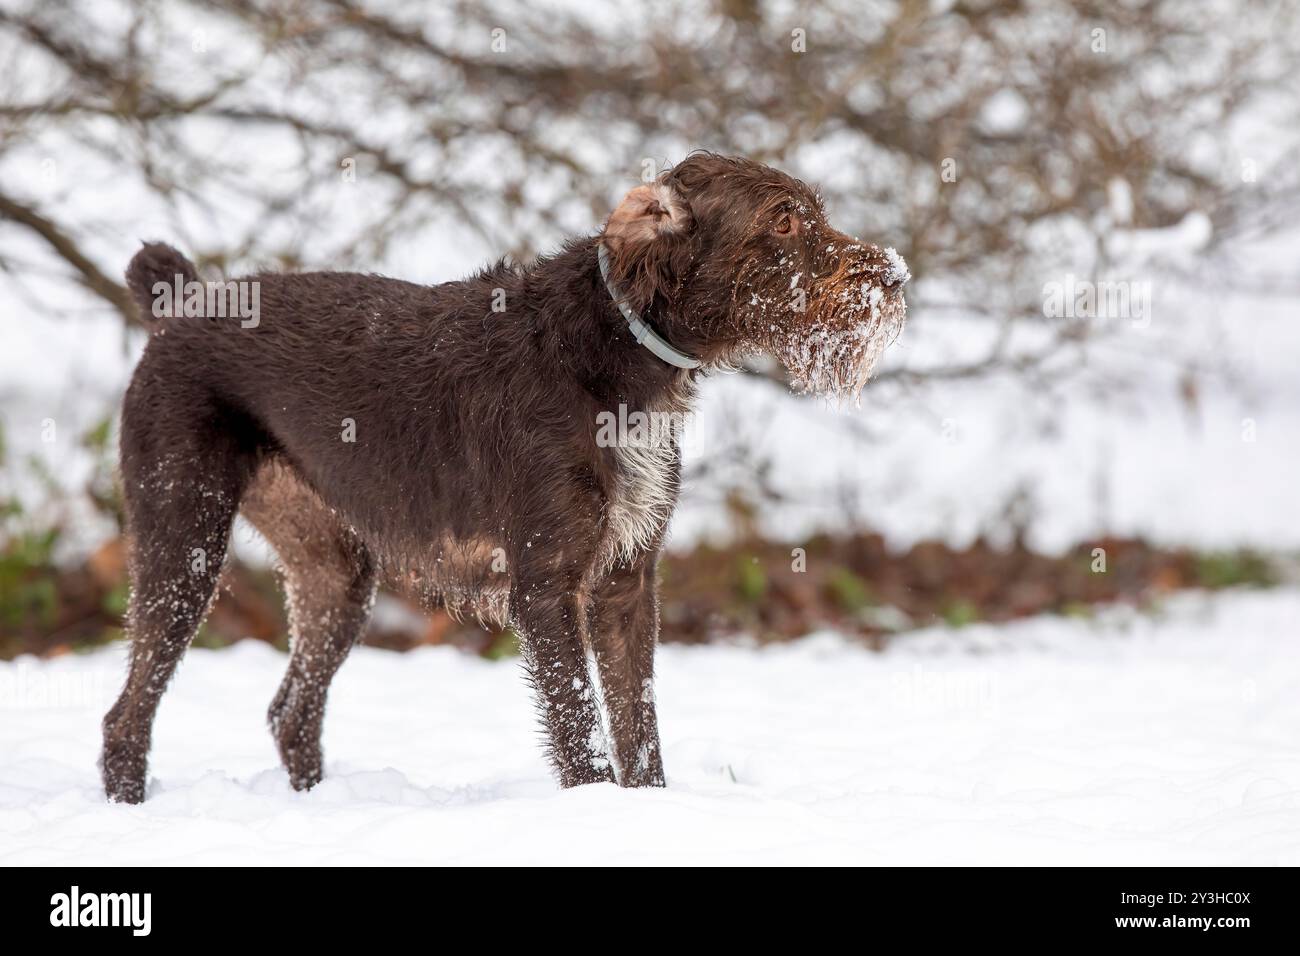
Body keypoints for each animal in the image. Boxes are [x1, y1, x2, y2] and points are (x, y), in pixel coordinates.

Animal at [101, 155, 909, 801]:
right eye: (783, 221)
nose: (896, 276)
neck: (615, 350)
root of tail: (180, 305)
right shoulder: (546, 588)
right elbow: (581, 727)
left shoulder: (626, 583)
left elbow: (637, 724)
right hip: (183, 541)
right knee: (126, 714)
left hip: (335, 572)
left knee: (291, 712)